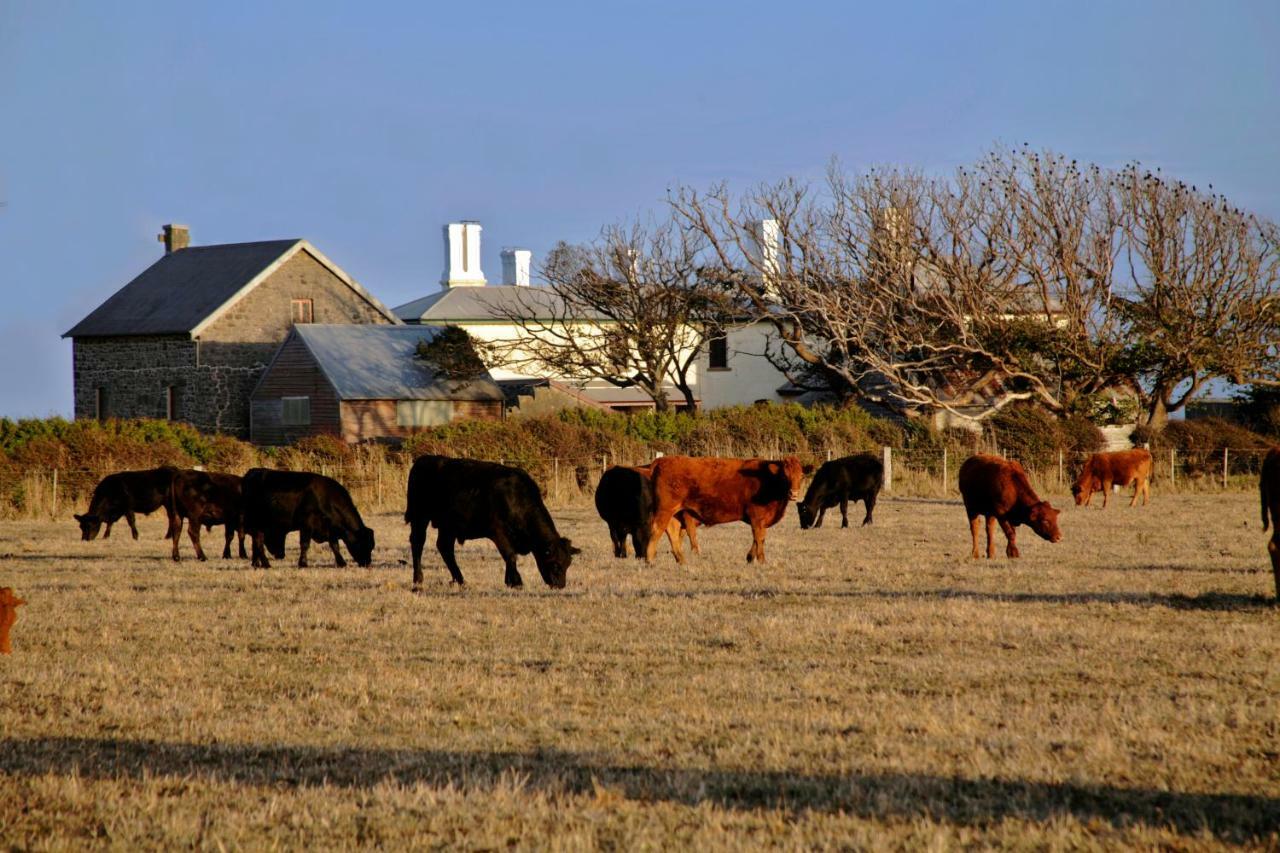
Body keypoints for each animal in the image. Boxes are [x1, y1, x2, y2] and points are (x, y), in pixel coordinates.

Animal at [241, 468, 373, 568]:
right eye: (364, 543)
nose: (367, 563)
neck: (325, 498)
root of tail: (253, 472)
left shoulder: (330, 529)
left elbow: (335, 546)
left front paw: (341, 563)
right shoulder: (307, 525)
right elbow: (305, 544)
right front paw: (303, 563)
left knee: (255, 542)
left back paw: (256, 563)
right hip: (257, 523)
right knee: (258, 541)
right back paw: (265, 564)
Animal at [404, 455, 581, 589]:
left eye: (568, 564)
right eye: (556, 564)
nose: (560, 585)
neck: (516, 498)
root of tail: (424, 459)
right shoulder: (498, 531)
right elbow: (510, 555)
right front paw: (516, 582)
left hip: (448, 525)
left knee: (445, 547)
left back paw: (460, 580)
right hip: (419, 516)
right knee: (418, 543)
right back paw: (418, 578)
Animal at [640, 450, 808, 563]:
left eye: (801, 476)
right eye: (784, 476)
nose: (793, 493)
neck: (766, 479)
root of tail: (661, 461)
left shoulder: (761, 520)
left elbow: (759, 538)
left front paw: (750, 557)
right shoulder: (757, 517)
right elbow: (759, 538)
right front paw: (761, 560)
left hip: (675, 512)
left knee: (672, 531)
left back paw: (680, 560)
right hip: (665, 509)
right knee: (657, 529)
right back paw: (650, 559)